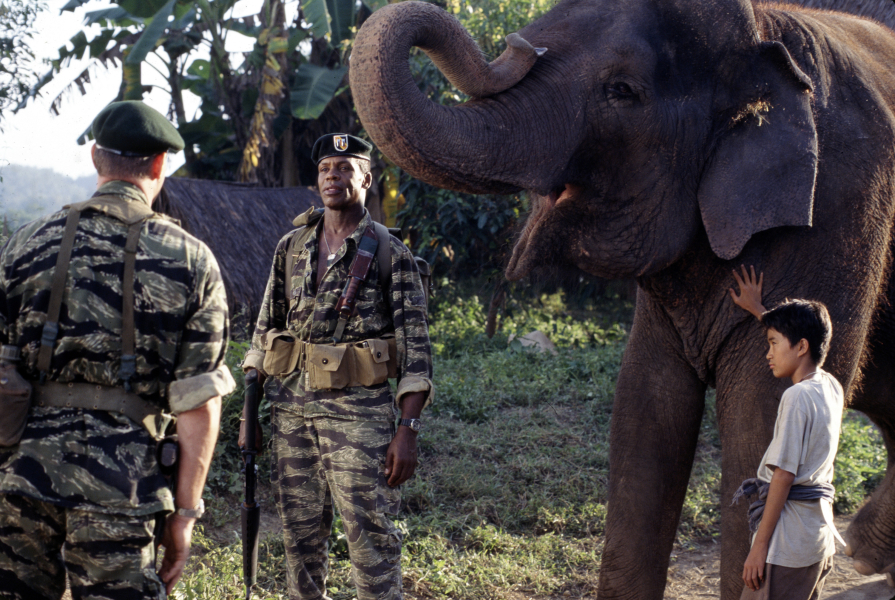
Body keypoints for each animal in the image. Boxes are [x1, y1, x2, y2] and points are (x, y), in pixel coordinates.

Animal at [349, 0, 895, 598]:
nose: (519, 44)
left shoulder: (840, 218)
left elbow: (765, 419)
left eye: (622, 91)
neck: (765, 28)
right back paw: (866, 553)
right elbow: (643, 406)